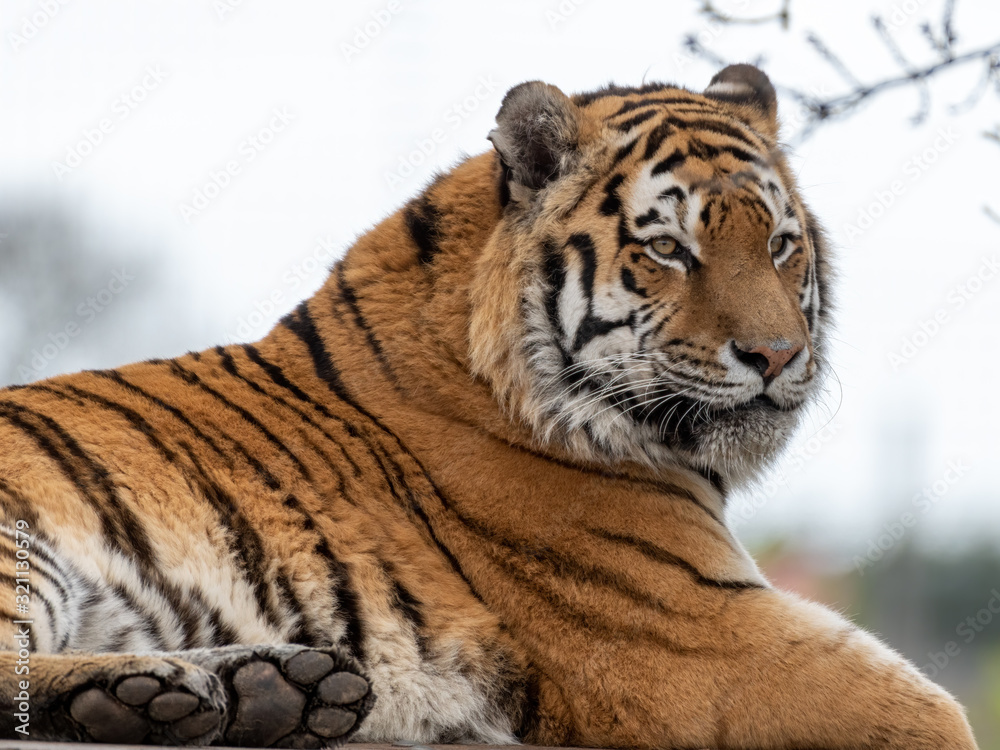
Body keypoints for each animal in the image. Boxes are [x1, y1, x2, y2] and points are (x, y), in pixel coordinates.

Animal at [0, 66, 972, 750]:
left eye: (778, 246)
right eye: (668, 248)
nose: (777, 357)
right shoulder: (701, 635)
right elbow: (940, 717)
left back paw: (264, 692)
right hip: (24, 543)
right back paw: (165, 694)